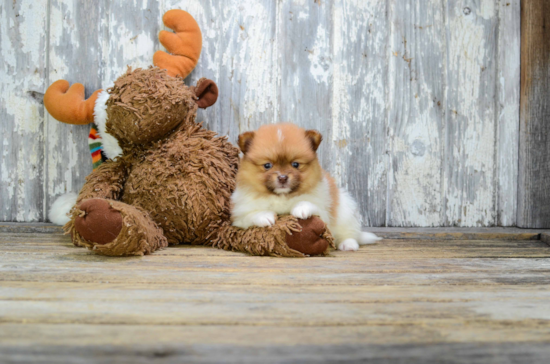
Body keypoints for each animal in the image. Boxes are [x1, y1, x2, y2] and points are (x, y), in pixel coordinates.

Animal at [231, 122, 382, 250]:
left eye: (295, 164)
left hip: (346, 211)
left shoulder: (324, 211)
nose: (282, 177)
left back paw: (348, 244)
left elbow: (309, 203)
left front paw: (301, 208)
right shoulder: (238, 218)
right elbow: (250, 216)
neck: (282, 196)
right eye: (267, 165)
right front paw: (264, 216)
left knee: (349, 233)